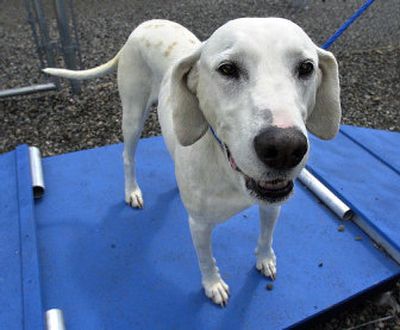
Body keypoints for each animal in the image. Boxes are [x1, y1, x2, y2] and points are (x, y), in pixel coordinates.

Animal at [44, 18, 340, 306]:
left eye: (306, 67)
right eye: (227, 69)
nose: (284, 148)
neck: (228, 168)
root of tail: (143, 25)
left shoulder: (272, 205)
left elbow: (266, 235)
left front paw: (265, 259)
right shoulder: (199, 225)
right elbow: (206, 259)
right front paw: (213, 286)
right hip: (133, 115)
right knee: (127, 156)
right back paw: (132, 192)